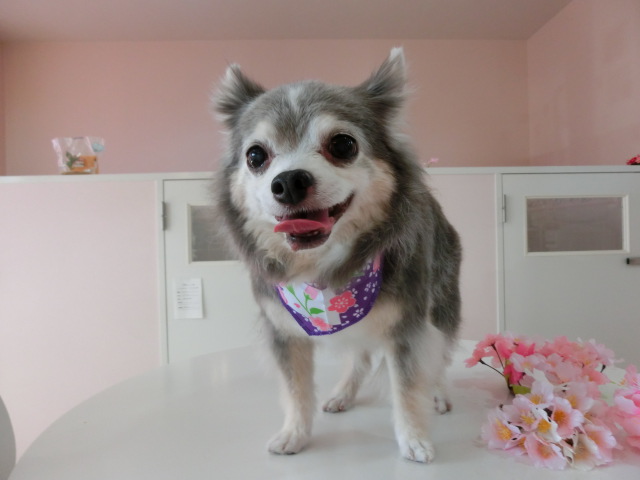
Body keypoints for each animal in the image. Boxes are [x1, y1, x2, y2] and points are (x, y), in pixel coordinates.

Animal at [211, 47, 462, 463]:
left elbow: (408, 386)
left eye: (343, 145)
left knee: (439, 352)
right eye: (255, 156)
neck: (322, 271)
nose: (288, 181)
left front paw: (413, 440)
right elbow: (295, 389)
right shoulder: (283, 331)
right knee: (360, 356)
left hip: (442, 302)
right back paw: (344, 393)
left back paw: (439, 393)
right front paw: (294, 434)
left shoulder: (407, 327)